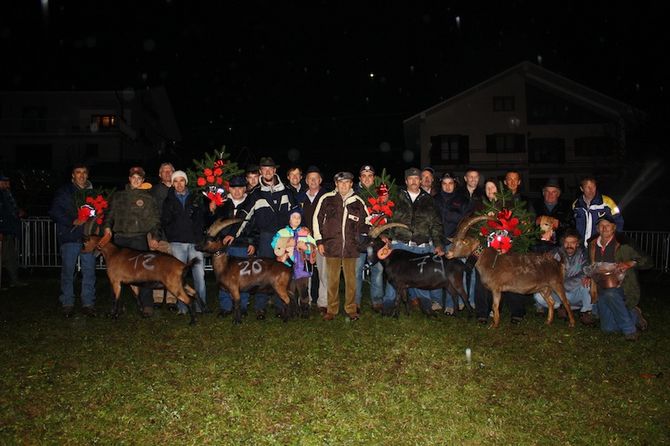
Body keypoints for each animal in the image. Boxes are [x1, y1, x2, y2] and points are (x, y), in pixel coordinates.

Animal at [446, 214, 576, 330]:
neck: (487, 260)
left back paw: (572, 323)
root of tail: (559, 264)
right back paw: (548, 322)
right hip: (544, 288)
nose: (448, 254)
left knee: (566, 302)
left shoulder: (496, 288)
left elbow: (495, 306)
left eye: (461, 243)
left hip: (556, 283)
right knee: (551, 302)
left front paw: (494, 325)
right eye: (453, 242)